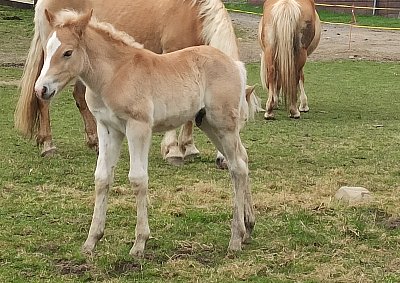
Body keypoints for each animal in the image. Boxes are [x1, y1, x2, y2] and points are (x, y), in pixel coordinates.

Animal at [14, 0, 256, 169]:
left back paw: (94, 142)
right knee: (43, 99)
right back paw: (48, 145)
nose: (224, 161)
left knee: (79, 97)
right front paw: (173, 151)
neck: (194, 14)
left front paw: (189, 147)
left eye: (243, 121)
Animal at [33, 8, 253, 258]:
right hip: (208, 124)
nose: (41, 89)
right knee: (242, 160)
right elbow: (102, 178)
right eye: (47, 49)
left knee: (238, 168)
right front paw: (91, 241)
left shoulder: (138, 127)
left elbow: (138, 179)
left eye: (68, 52)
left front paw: (139, 243)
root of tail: (235, 64)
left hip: (223, 125)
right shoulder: (107, 128)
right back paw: (248, 228)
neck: (114, 75)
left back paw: (235, 239)